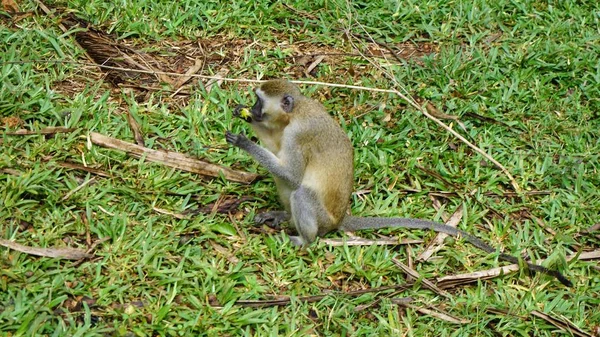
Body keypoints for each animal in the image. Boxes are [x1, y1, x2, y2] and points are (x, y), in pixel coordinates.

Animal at [225, 79, 572, 286]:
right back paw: (284, 216)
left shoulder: (298, 135)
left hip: (322, 218)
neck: (295, 113)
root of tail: (340, 218)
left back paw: (305, 240)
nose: (252, 109)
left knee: (302, 193)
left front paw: (244, 141)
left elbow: (294, 174)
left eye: (259, 102)